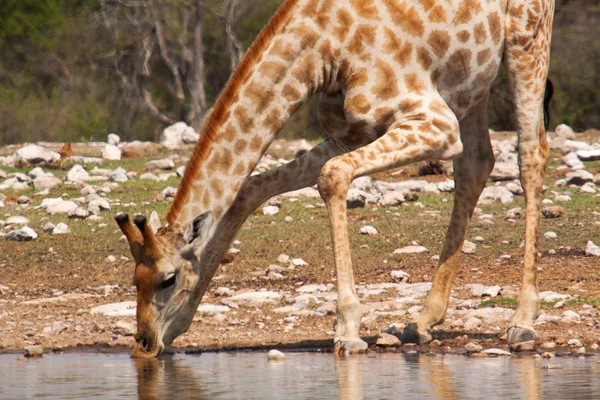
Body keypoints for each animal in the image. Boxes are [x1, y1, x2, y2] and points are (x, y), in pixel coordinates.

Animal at [115, 0, 556, 356]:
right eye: (134, 279)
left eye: (168, 279)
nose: (144, 343)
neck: (323, 54)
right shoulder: (349, 133)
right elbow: (249, 190)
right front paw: (182, 324)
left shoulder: (436, 123)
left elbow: (332, 176)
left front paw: (347, 329)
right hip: (471, 80)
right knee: (477, 163)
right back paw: (424, 320)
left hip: (526, 38)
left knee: (531, 155)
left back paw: (523, 321)